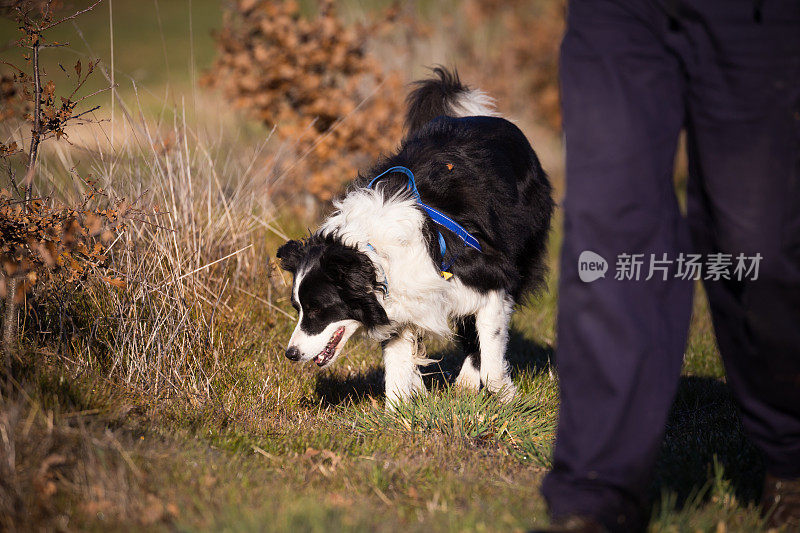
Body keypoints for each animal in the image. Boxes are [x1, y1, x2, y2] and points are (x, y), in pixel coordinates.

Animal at [276, 68, 552, 406]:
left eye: (318, 308)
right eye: (297, 308)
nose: (291, 354)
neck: (371, 251)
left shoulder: (486, 275)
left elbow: (491, 347)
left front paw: (506, 399)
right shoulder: (398, 296)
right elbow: (396, 362)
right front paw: (397, 411)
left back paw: (466, 384)